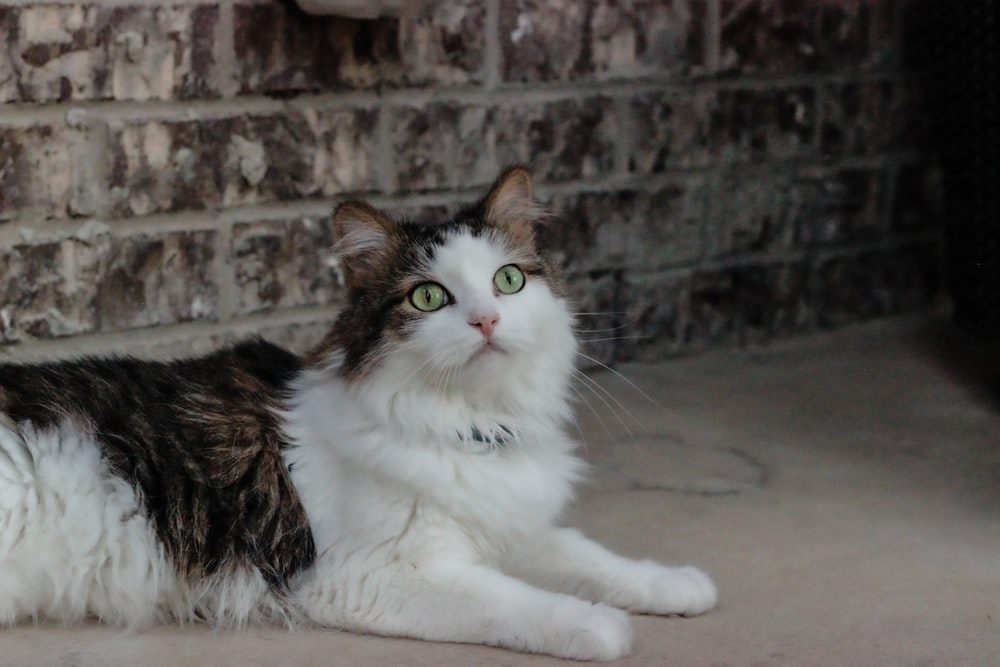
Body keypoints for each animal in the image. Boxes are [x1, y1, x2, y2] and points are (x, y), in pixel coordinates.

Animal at [1, 170, 720, 660]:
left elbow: (592, 556)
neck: (469, 426)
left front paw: (677, 585)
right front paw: (597, 624)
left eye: (509, 281)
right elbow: (515, 601)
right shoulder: (374, 576)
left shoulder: (511, 528)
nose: (487, 320)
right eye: (429, 297)